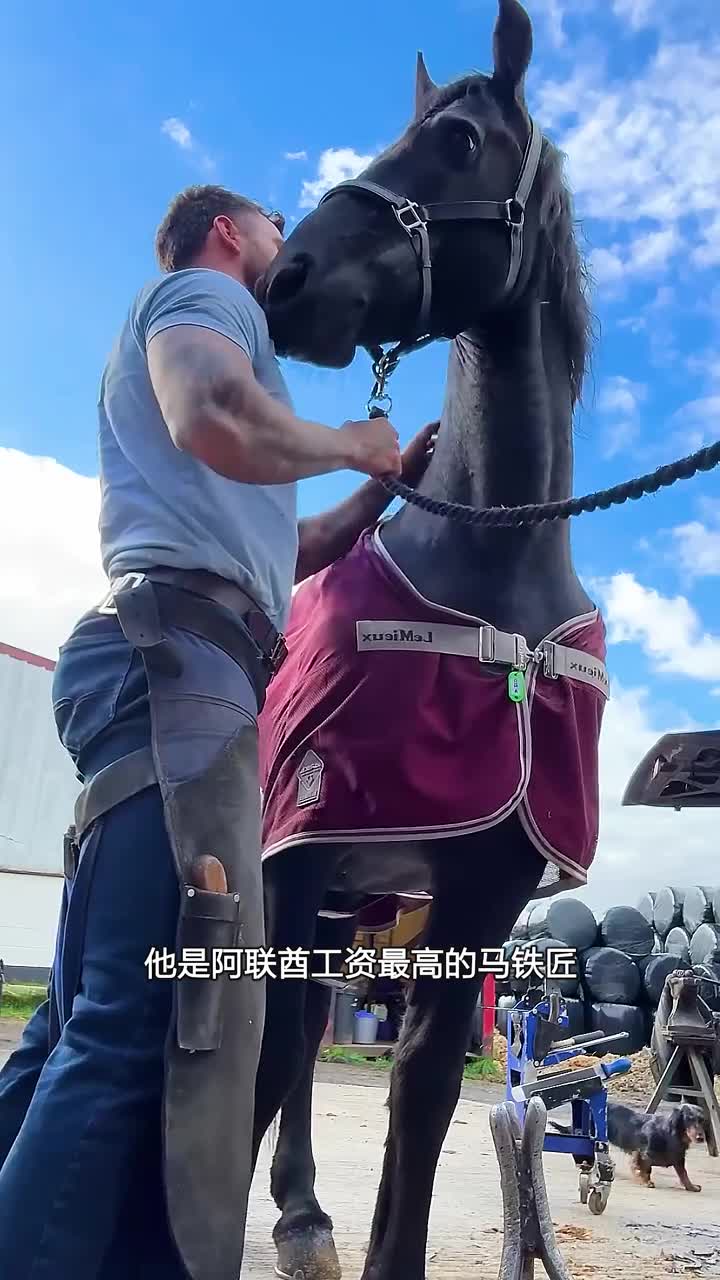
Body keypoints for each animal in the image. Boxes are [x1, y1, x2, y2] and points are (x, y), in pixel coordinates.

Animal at [251, 2, 609, 1277]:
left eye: (457, 141)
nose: (286, 276)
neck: (495, 578)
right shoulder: (295, 848)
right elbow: (263, 1056)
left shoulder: (478, 896)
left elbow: (424, 1091)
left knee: (312, 1029)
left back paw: (304, 1208)